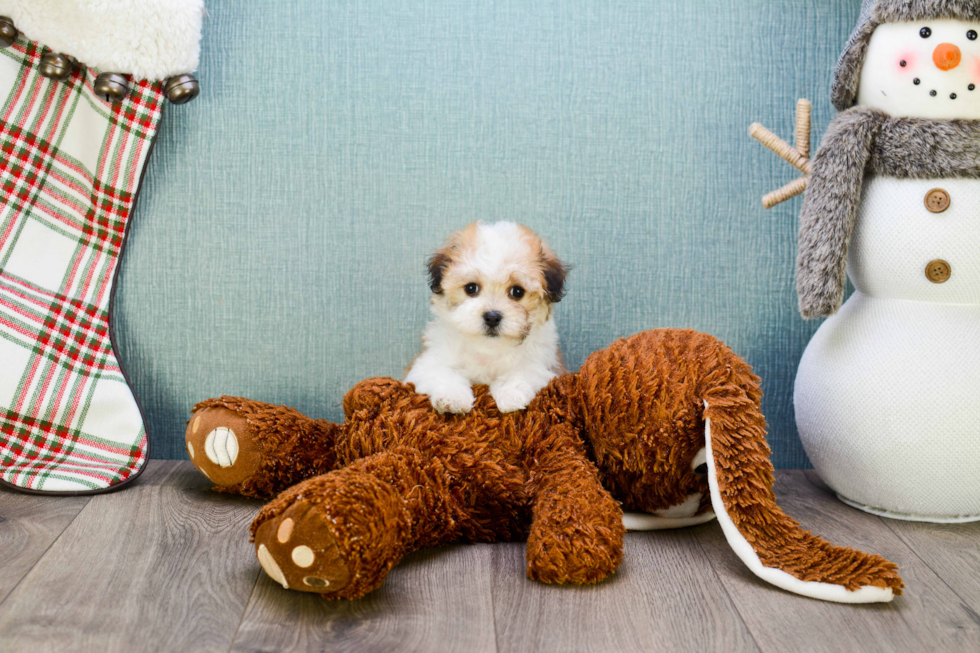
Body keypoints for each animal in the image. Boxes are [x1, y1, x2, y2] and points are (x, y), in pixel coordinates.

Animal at [406, 220, 568, 412]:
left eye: (517, 291)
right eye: (471, 288)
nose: (492, 317)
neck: (488, 351)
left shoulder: (546, 367)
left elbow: (523, 372)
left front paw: (511, 395)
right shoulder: (426, 363)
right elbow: (442, 373)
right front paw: (452, 398)